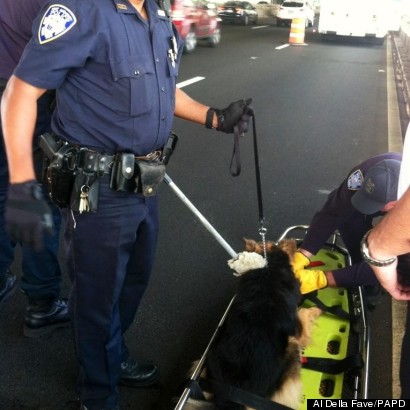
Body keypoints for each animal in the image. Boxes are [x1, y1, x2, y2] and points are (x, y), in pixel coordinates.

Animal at [187, 239, 322, 408]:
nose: (293, 241)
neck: (269, 269)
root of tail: (232, 397)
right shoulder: (297, 331)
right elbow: (304, 313)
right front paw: (317, 310)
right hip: (291, 351)